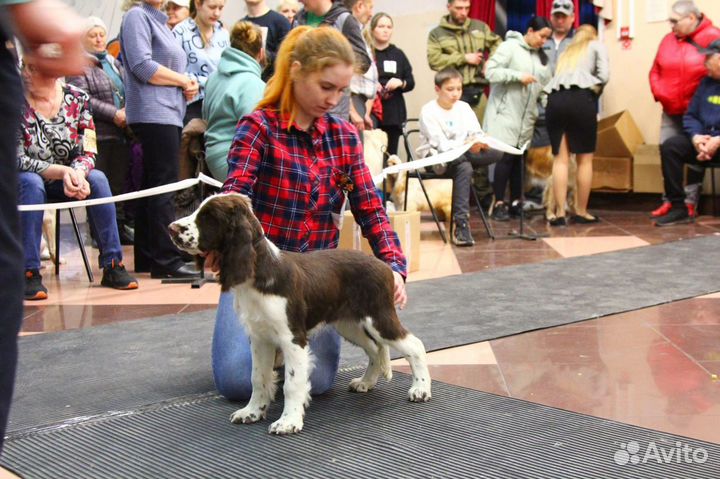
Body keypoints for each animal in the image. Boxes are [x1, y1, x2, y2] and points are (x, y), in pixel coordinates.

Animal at [169, 194, 430, 436]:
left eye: (209, 216)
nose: (171, 228)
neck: (259, 274)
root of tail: (385, 266)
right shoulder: (260, 337)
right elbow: (257, 377)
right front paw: (252, 412)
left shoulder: (293, 338)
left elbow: (292, 384)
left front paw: (288, 422)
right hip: (349, 323)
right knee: (375, 349)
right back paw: (366, 382)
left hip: (378, 317)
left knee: (414, 345)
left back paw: (421, 389)